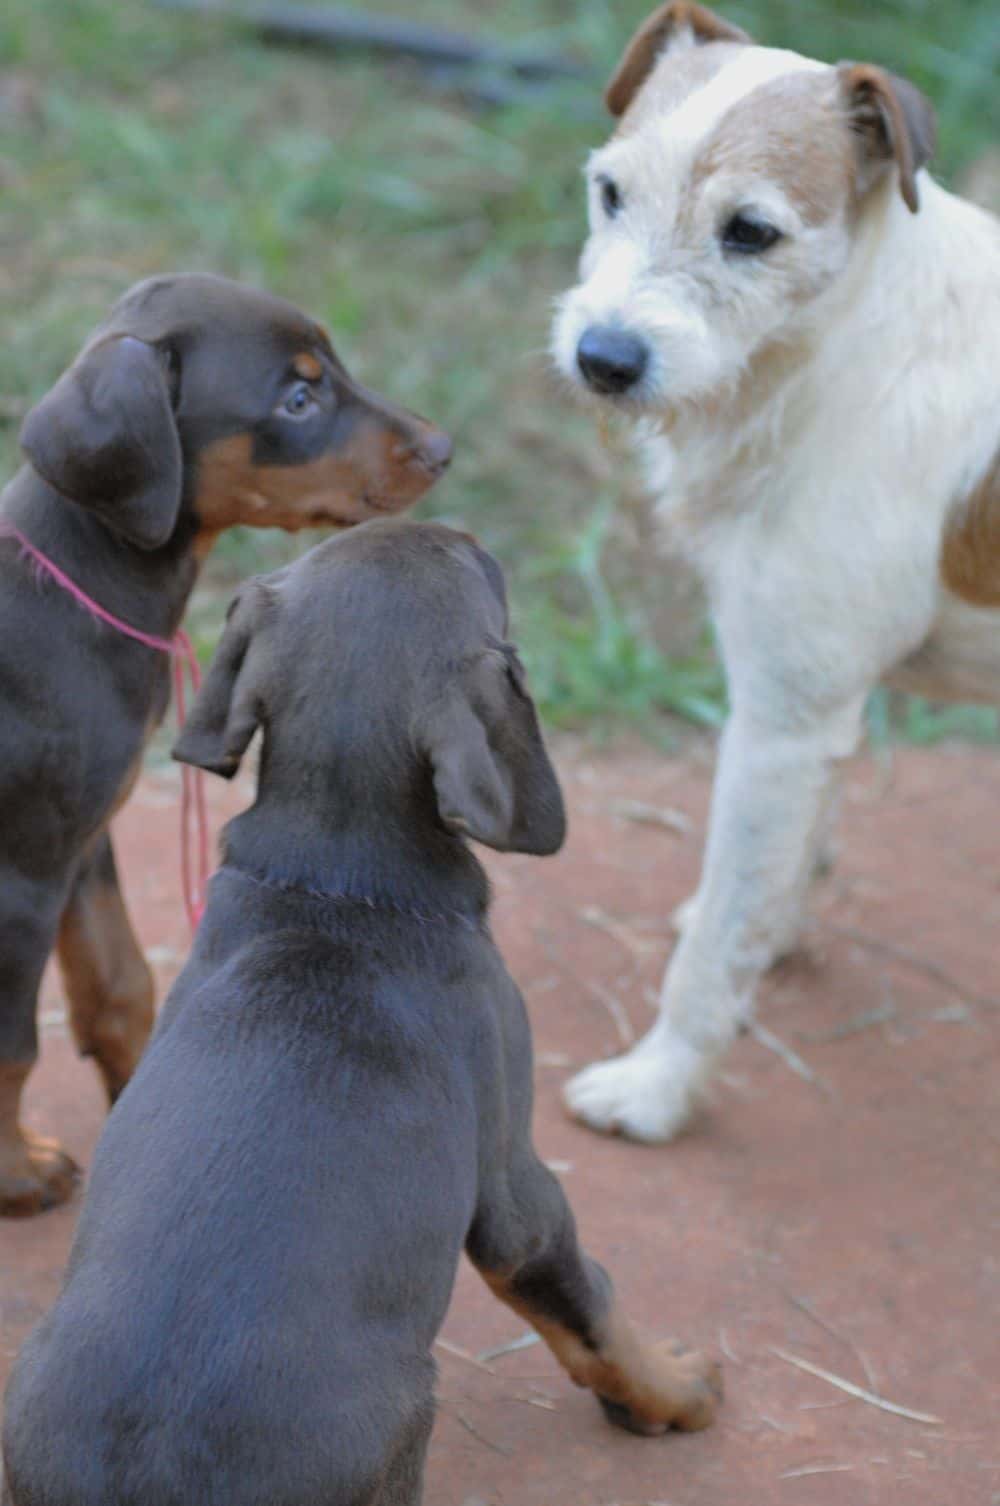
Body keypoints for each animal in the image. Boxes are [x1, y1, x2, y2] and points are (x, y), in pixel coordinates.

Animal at [554, 0, 1000, 1138]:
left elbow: (714, 954)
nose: (603, 360)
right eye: (610, 192)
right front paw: (775, 928)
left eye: (750, 232)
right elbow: (771, 880)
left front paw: (658, 1087)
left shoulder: (780, 722)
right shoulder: (815, 711)